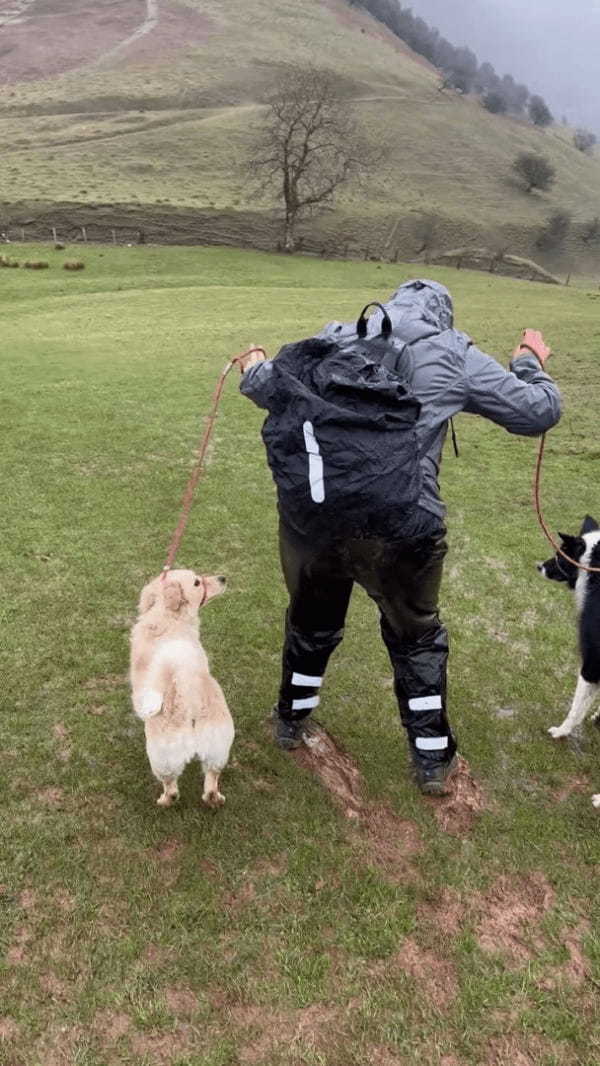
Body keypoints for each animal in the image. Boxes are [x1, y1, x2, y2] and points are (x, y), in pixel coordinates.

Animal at [130, 575, 233, 805]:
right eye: (197, 582)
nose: (222, 578)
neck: (169, 615)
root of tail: (190, 695)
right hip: (217, 745)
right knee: (212, 778)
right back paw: (215, 799)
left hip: (162, 755)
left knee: (171, 787)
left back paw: (164, 800)